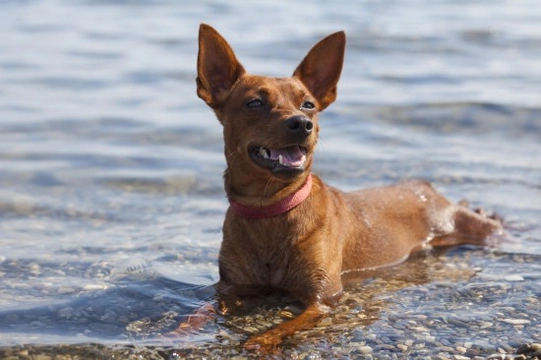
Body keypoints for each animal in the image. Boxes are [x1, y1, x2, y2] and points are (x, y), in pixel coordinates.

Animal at [180, 23, 502, 354]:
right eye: (255, 103)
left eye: (309, 105)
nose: (302, 123)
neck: (269, 208)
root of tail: (429, 188)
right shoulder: (230, 289)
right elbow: (199, 312)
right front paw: (180, 330)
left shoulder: (323, 299)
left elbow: (285, 325)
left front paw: (261, 339)